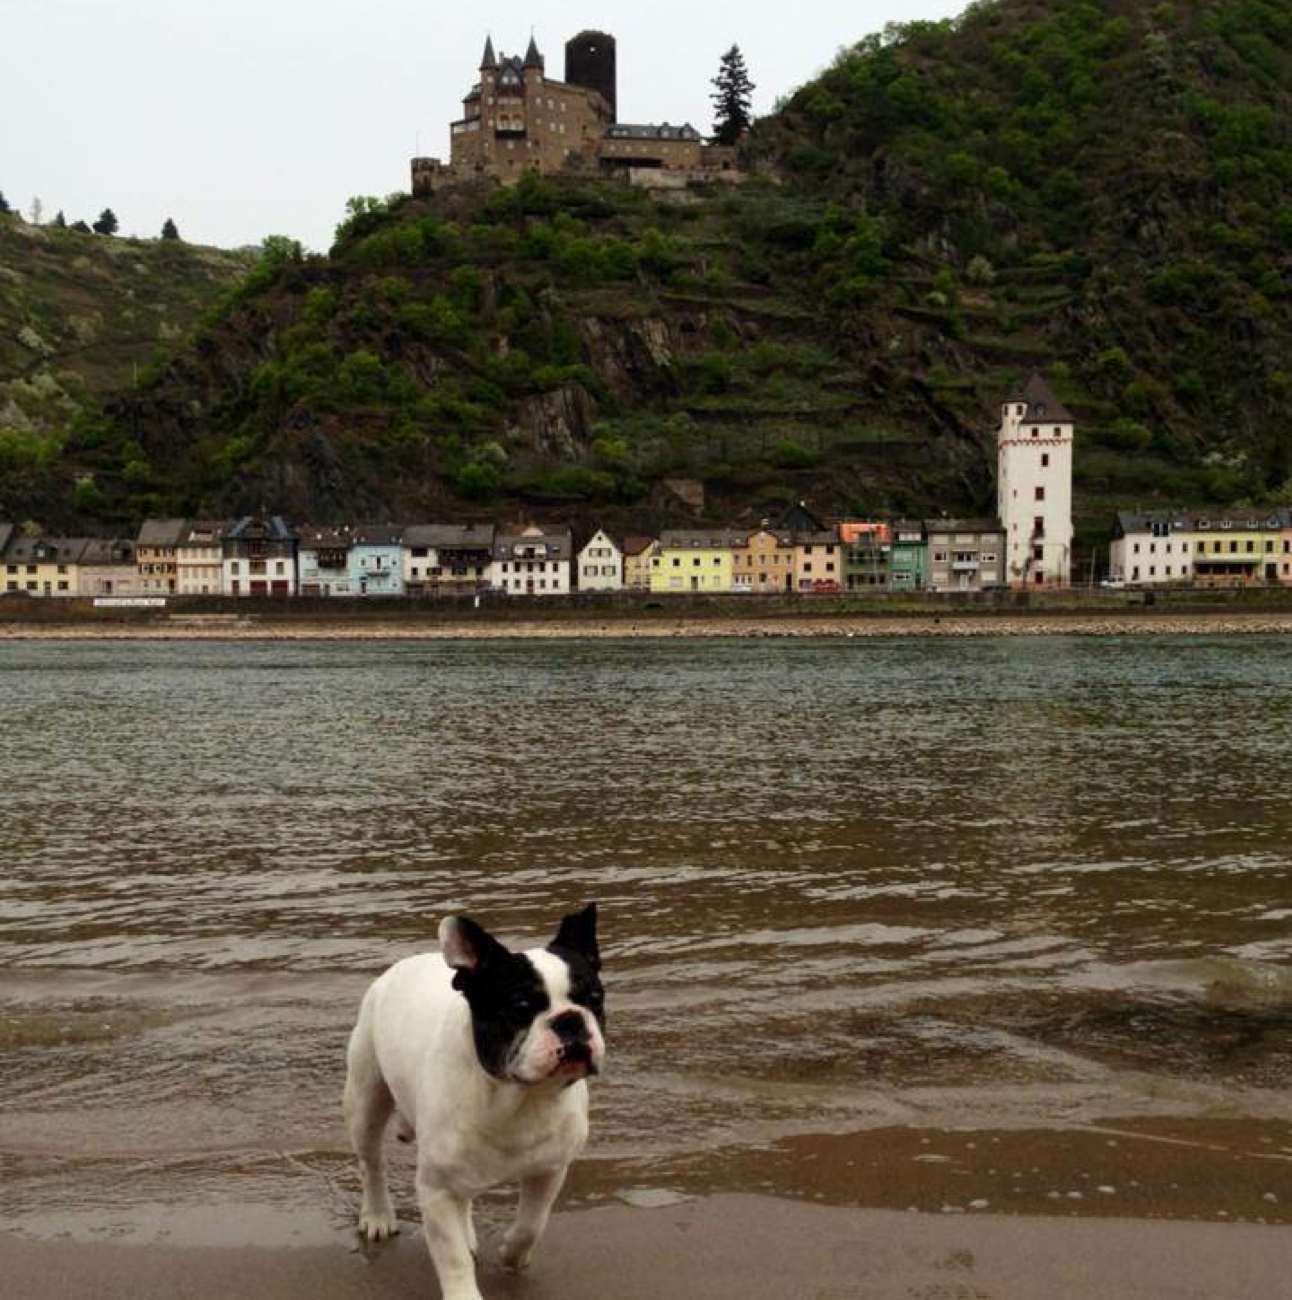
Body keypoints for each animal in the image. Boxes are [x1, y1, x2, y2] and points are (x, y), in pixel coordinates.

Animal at [343, 904, 605, 1300]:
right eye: (521, 1006)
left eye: (595, 999)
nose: (570, 1019)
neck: (519, 1098)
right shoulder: (436, 1190)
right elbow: (451, 1258)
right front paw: (463, 1291)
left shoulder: (549, 1170)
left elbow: (532, 1223)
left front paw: (512, 1254)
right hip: (366, 1099)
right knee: (372, 1163)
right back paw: (377, 1216)